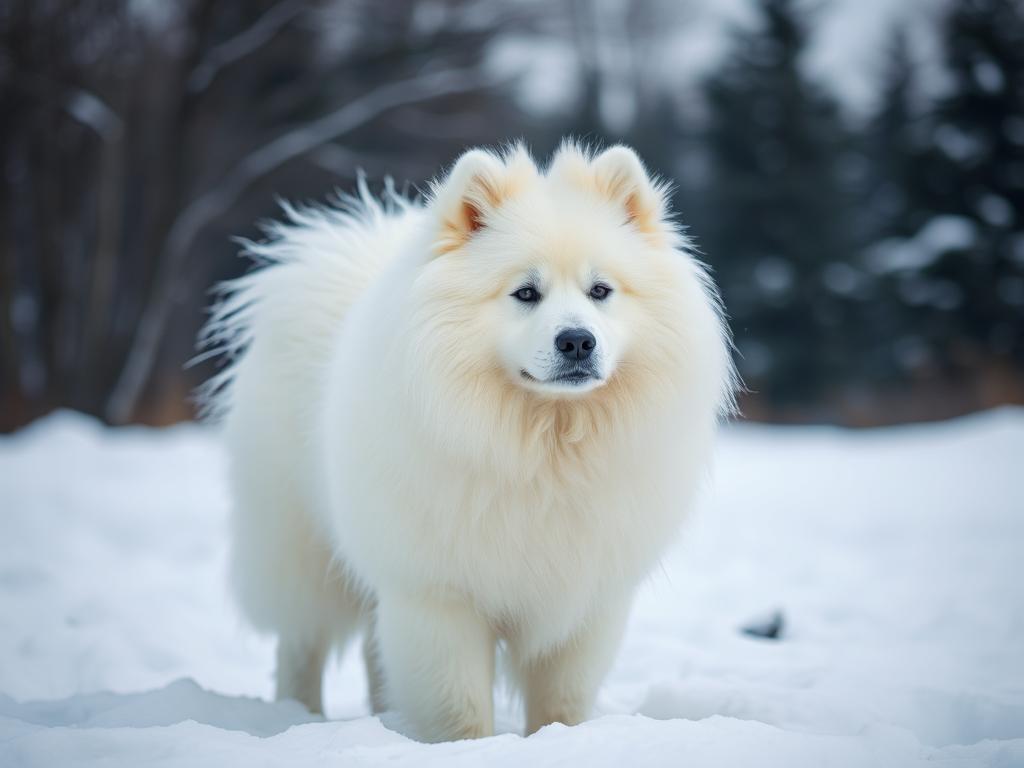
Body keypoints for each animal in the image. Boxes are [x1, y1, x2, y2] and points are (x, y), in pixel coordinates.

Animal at [199, 141, 733, 741]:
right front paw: (465, 747)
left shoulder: (586, 598)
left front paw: (558, 740)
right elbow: (459, 705)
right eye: (526, 292)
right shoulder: (437, 596)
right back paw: (300, 715)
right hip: (301, 547)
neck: (543, 447)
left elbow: (562, 700)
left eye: (600, 291)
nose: (577, 340)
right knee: (301, 643)